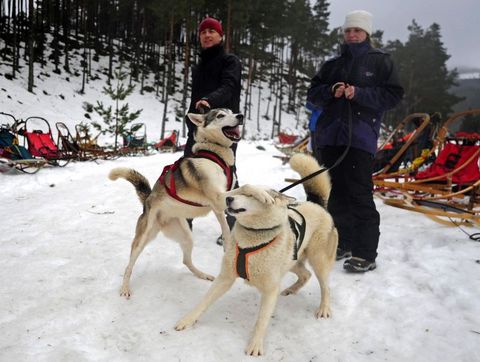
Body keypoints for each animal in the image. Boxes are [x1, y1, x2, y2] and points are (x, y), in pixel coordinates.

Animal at [109, 109, 244, 298]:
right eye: (220, 115)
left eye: (231, 112)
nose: (240, 116)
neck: (214, 153)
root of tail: (147, 200)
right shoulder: (217, 199)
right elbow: (243, 191)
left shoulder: (221, 201)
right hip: (142, 239)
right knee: (129, 266)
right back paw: (125, 288)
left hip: (186, 236)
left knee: (186, 260)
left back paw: (202, 274)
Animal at [173, 153, 338, 356]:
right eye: (239, 193)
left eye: (250, 195)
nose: (229, 199)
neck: (253, 236)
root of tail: (317, 204)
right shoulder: (225, 278)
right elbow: (204, 301)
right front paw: (187, 320)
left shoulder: (270, 290)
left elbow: (261, 320)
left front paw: (255, 345)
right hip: (292, 261)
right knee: (305, 274)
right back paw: (291, 290)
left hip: (319, 261)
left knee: (325, 287)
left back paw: (324, 308)